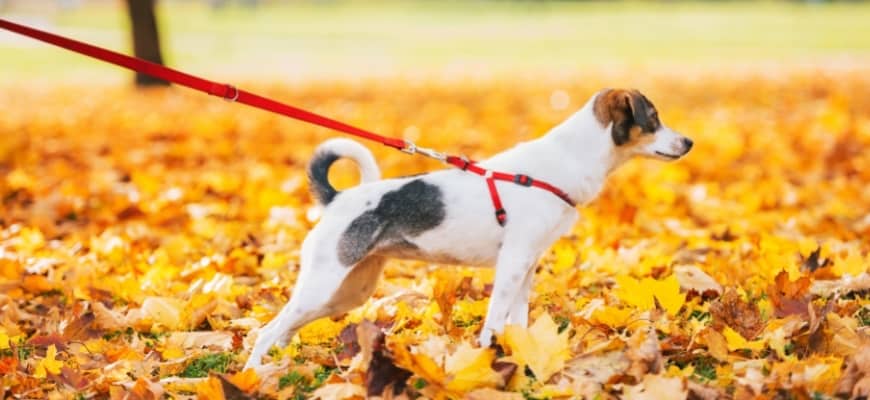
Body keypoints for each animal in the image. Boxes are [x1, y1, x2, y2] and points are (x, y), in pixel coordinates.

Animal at [244, 87, 696, 368]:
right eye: (653, 119)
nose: (689, 142)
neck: (563, 162)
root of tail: (338, 199)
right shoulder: (512, 263)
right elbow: (495, 321)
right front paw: (489, 360)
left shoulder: (526, 265)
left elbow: (518, 321)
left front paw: (520, 357)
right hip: (324, 284)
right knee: (267, 331)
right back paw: (253, 375)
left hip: (348, 292)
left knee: (284, 330)